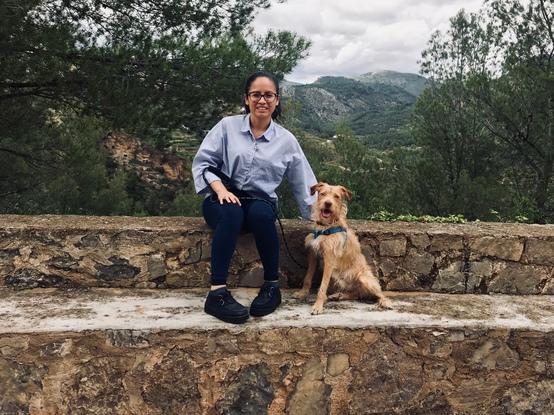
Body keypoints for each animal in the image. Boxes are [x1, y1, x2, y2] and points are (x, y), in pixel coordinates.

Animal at [294, 182, 388, 316]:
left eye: (337, 196)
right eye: (322, 194)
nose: (328, 203)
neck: (327, 226)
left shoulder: (329, 258)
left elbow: (323, 286)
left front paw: (318, 306)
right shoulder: (313, 254)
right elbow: (308, 277)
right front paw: (302, 293)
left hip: (364, 278)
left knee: (379, 293)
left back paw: (384, 302)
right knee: (357, 294)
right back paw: (339, 295)